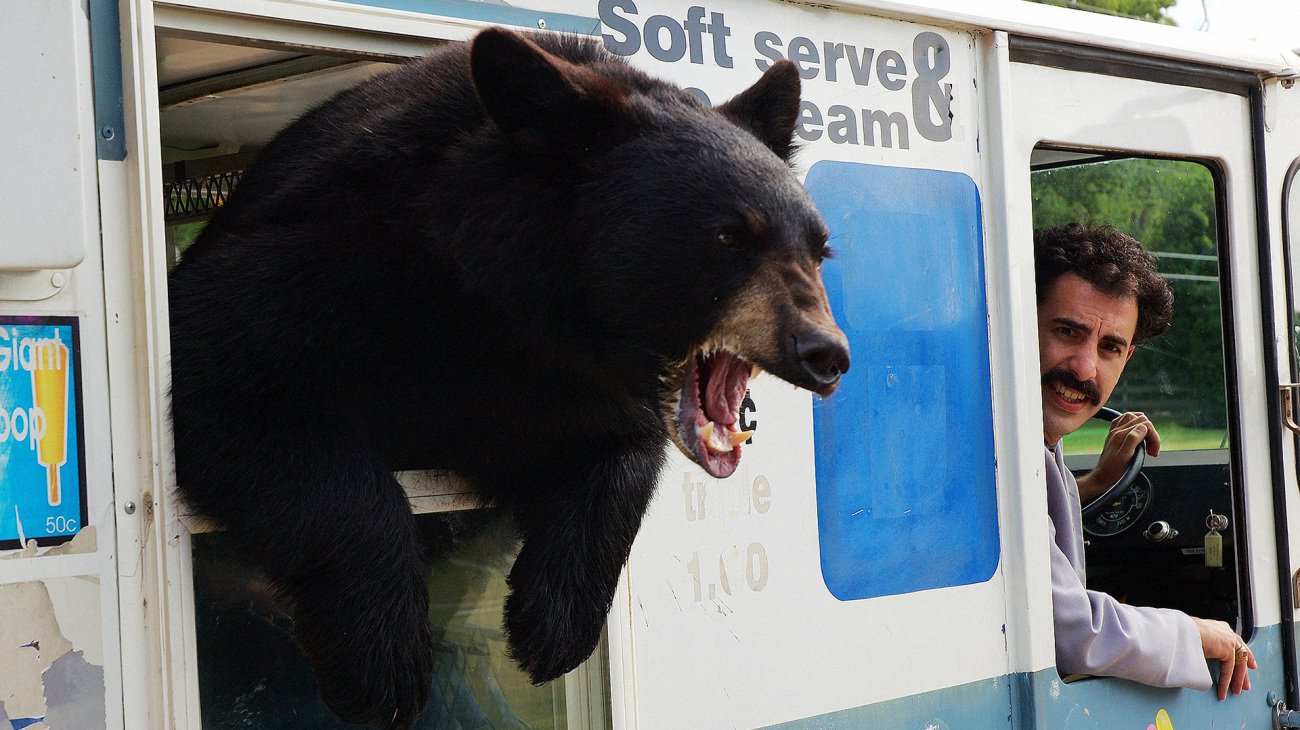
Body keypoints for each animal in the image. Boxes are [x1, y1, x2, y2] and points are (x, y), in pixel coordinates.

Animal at [167, 25, 847, 722]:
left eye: (819, 249)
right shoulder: (323, 264)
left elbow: (618, 454)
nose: (823, 352)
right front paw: (384, 661)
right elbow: (232, 391)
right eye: (729, 236)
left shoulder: (563, 385)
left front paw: (551, 625)